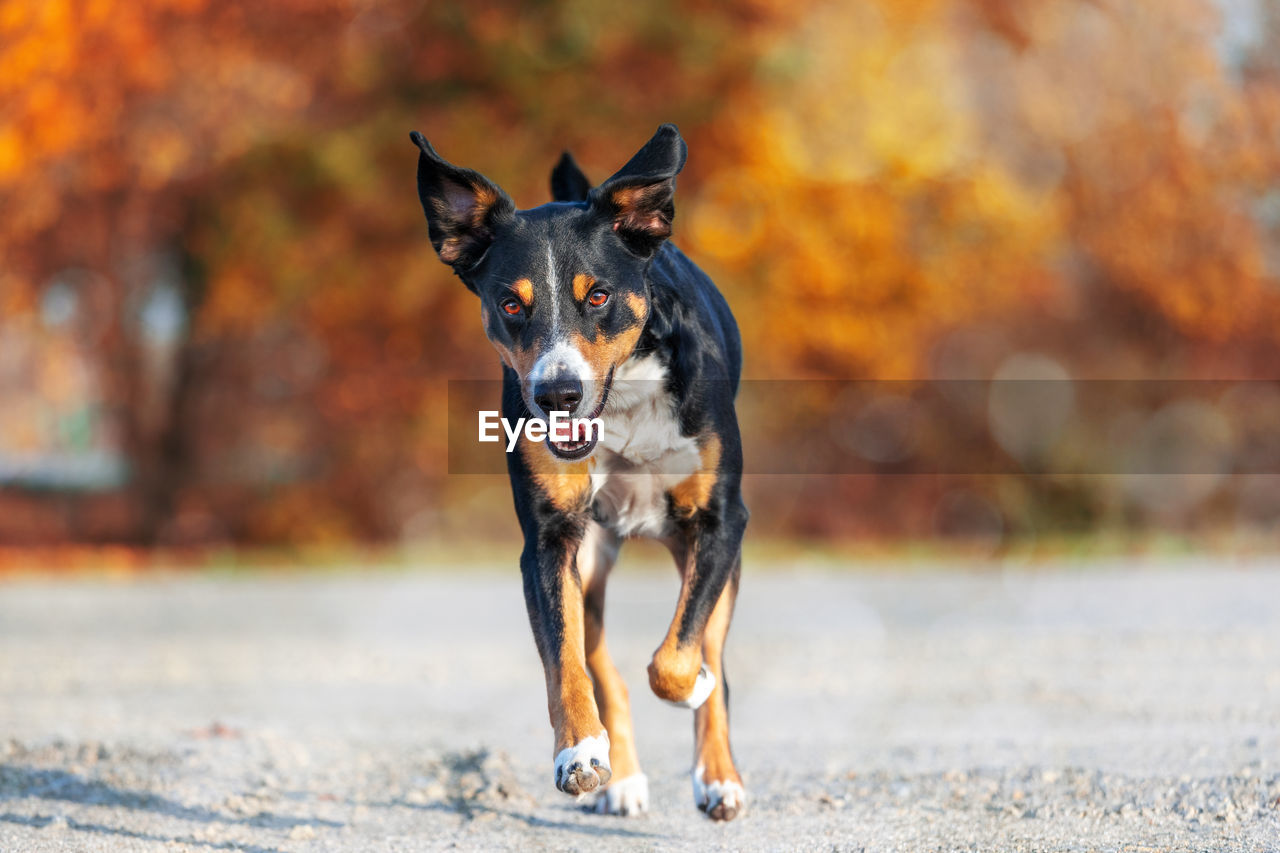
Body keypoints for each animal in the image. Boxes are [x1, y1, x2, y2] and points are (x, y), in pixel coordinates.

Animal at [409, 124, 747, 819]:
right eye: (511, 304)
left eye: (598, 295)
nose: (557, 395)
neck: (624, 408)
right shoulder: (550, 541)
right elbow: (567, 663)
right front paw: (581, 756)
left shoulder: (722, 521)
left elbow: (680, 657)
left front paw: (695, 691)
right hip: (590, 558)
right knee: (601, 665)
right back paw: (620, 777)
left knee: (708, 653)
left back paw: (719, 777)